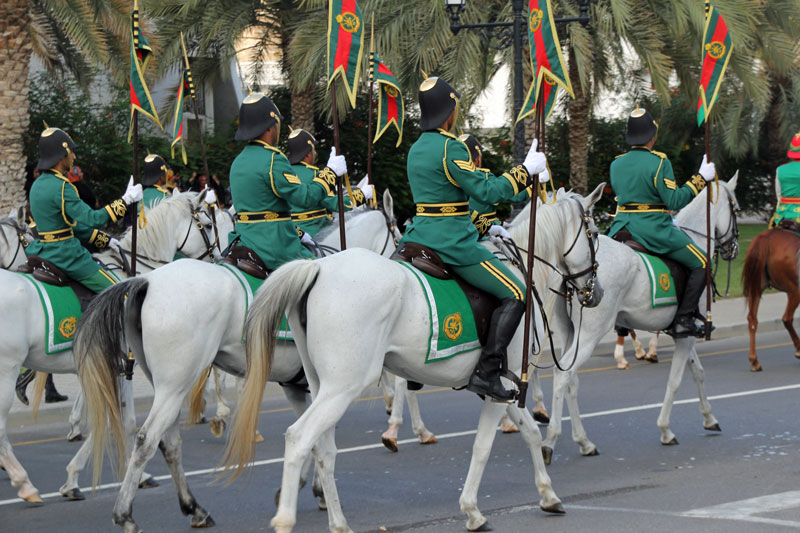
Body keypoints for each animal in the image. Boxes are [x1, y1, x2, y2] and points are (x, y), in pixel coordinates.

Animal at [0, 192, 222, 502]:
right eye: (208, 224)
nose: (218, 258)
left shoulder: (107, 368)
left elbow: (104, 418)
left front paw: (74, 478)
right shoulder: (121, 366)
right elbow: (121, 420)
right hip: (6, 371)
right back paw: (25, 484)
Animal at [222, 187, 604, 532]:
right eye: (595, 234)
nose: (595, 292)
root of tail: (317, 270)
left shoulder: (503, 389)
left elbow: (530, 433)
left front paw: (548, 495)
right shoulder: (500, 387)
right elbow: (483, 446)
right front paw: (472, 511)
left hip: (321, 387)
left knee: (324, 449)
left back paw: (338, 521)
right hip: (342, 387)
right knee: (300, 438)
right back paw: (286, 519)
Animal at [540, 176, 740, 462]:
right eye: (736, 209)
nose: (733, 248)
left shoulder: (683, 331)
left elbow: (697, 372)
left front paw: (709, 418)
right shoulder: (687, 333)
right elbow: (675, 380)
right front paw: (666, 429)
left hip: (572, 334)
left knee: (571, 379)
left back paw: (584, 442)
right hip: (590, 334)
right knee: (562, 374)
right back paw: (550, 441)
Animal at [740, 228, 800, 370]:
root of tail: (767, 236)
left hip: (756, 287)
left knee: (752, 319)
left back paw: (754, 361)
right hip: (795, 291)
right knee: (787, 319)